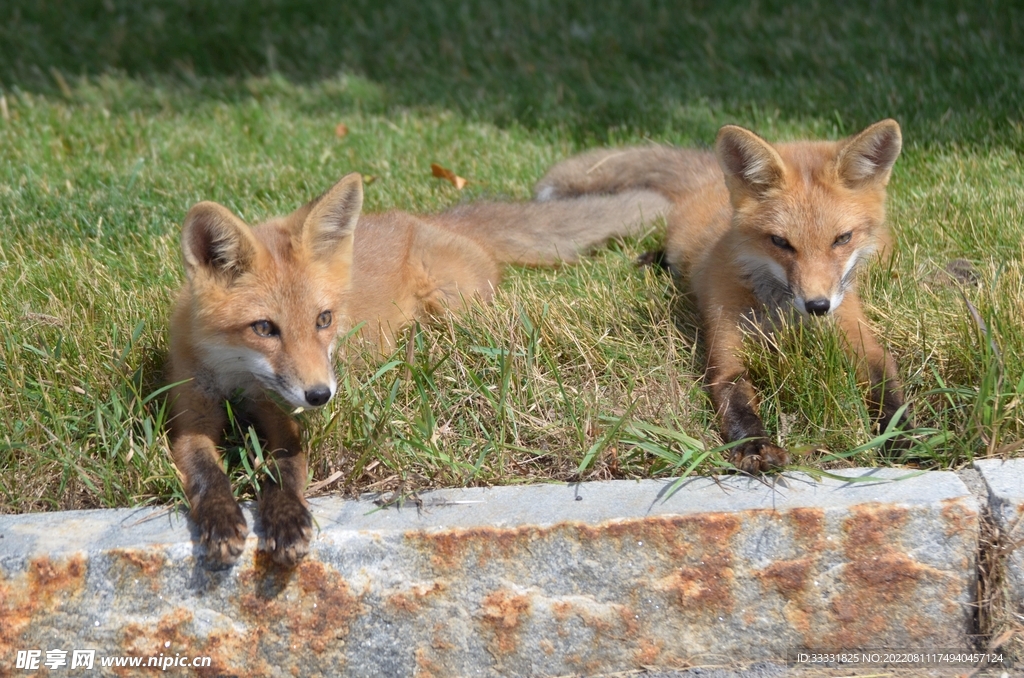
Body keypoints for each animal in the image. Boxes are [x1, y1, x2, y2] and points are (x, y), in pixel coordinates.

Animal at [165, 171, 671, 569]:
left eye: (323, 320)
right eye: (264, 328)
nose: (320, 395)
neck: (237, 381)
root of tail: (423, 218)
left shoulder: (285, 420)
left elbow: (282, 474)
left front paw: (287, 523)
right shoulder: (190, 416)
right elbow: (206, 476)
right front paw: (221, 523)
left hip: (453, 308)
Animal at [532, 119, 909, 473]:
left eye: (842, 238)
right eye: (780, 242)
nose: (817, 306)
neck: (785, 318)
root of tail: (711, 178)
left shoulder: (859, 337)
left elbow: (888, 389)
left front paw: (902, 440)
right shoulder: (727, 352)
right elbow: (737, 403)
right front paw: (755, 448)